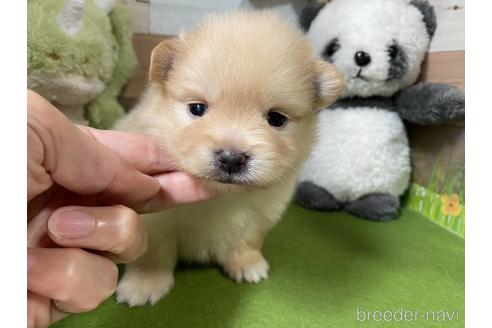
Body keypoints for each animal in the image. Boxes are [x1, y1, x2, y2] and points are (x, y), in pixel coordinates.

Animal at [114, 10, 342, 308]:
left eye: (276, 118)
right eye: (197, 108)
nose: (232, 159)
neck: (220, 197)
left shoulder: (261, 213)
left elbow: (247, 240)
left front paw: (247, 264)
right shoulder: (156, 218)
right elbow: (153, 251)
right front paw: (144, 283)